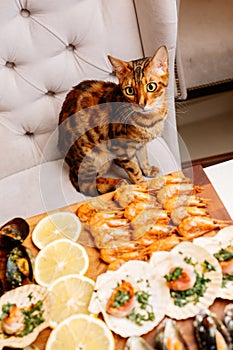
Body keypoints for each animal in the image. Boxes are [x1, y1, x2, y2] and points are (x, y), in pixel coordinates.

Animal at [57, 45, 168, 196]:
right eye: (129, 90)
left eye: (151, 87)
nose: (141, 104)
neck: (150, 120)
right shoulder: (119, 146)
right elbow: (134, 170)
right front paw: (142, 185)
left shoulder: (140, 143)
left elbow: (143, 156)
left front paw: (147, 169)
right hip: (93, 156)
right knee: (84, 184)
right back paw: (117, 183)